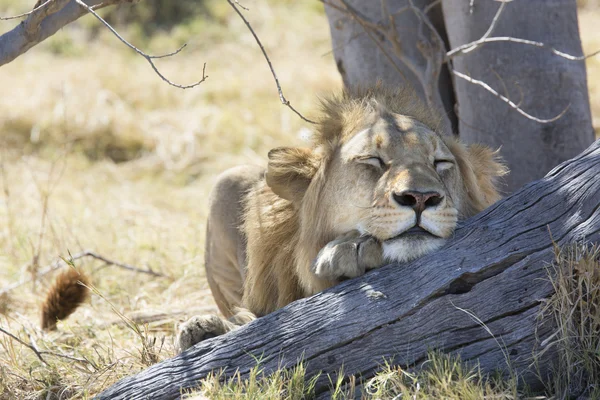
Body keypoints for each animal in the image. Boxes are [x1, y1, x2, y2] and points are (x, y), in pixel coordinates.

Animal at [177, 84, 506, 350]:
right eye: (373, 160)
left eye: (440, 163)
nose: (421, 198)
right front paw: (203, 328)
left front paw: (349, 251)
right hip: (226, 181)